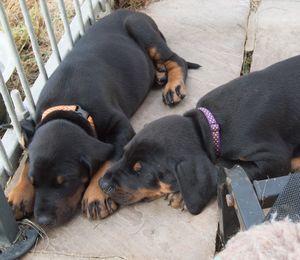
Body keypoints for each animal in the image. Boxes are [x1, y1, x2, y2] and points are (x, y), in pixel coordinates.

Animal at [6, 9, 199, 225]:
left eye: (64, 181)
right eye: (34, 182)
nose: (43, 221)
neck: (68, 109)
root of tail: (132, 11)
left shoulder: (120, 126)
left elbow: (110, 155)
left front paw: (96, 196)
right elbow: (26, 159)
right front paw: (18, 194)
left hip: (139, 27)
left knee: (176, 59)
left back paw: (173, 85)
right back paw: (159, 75)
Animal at [99, 55, 300, 215]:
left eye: (140, 171)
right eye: (124, 153)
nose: (102, 183)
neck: (208, 128)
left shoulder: (273, 159)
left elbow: (224, 168)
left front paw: (181, 195)